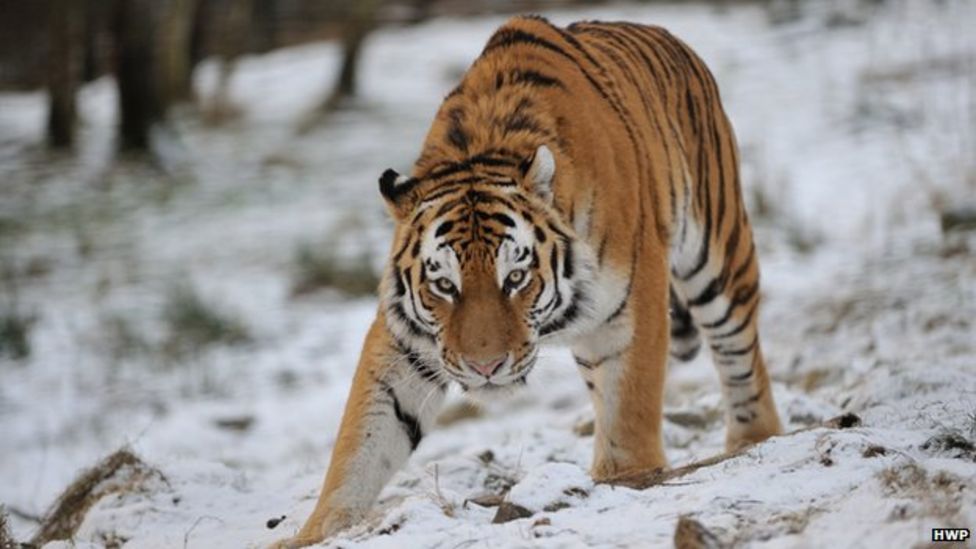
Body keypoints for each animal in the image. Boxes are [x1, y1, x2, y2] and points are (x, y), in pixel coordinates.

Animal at [276, 15, 784, 544]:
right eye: (445, 286)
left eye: (516, 277)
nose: (485, 367)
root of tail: (664, 33)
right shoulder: (406, 339)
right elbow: (363, 441)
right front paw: (316, 532)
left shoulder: (633, 307)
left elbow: (629, 410)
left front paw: (628, 478)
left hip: (718, 257)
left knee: (741, 361)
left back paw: (751, 441)